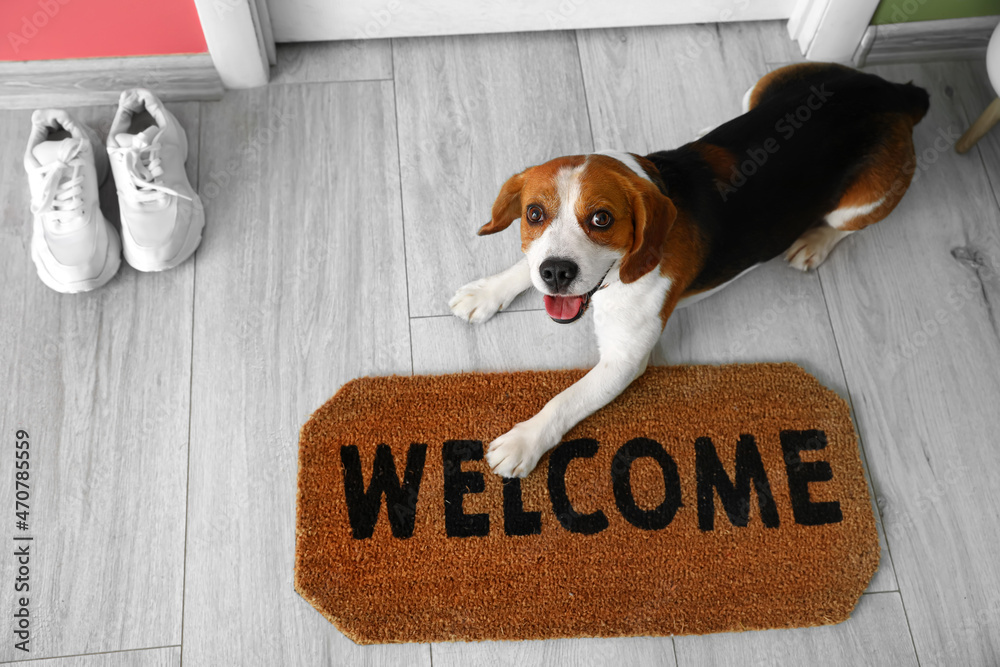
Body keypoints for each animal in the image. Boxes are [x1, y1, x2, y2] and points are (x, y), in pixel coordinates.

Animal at [450, 64, 924, 480]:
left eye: (602, 219)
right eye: (533, 213)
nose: (556, 273)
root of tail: (892, 91)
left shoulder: (624, 360)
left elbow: (565, 400)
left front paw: (523, 441)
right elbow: (521, 267)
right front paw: (487, 292)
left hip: (860, 204)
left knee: (844, 227)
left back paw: (814, 242)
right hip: (763, 85)